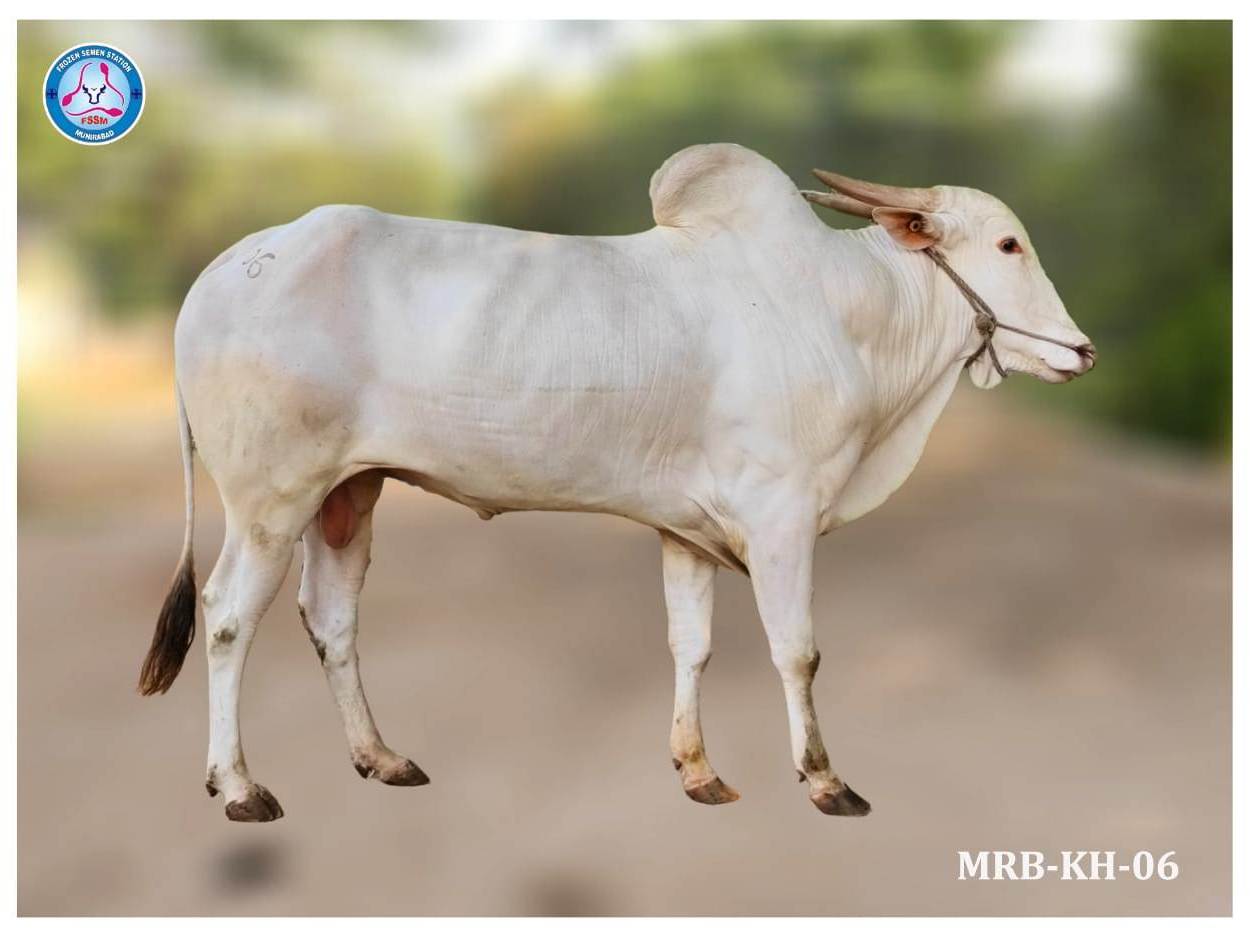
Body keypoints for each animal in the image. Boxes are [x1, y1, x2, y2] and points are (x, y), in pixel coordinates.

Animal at [140, 143, 1095, 822]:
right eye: (1009, 243)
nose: (1081, 351)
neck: (846, 312)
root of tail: (228, 266)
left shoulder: (689, 529)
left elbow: (691, 644)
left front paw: (699, 770)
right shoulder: (781, 514)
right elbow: (798, 650)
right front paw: (826, 781)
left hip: (347, 492)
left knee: (331, 618)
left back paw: (381, 757)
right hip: (268, 501)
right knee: (226, 618)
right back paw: (238, 786)